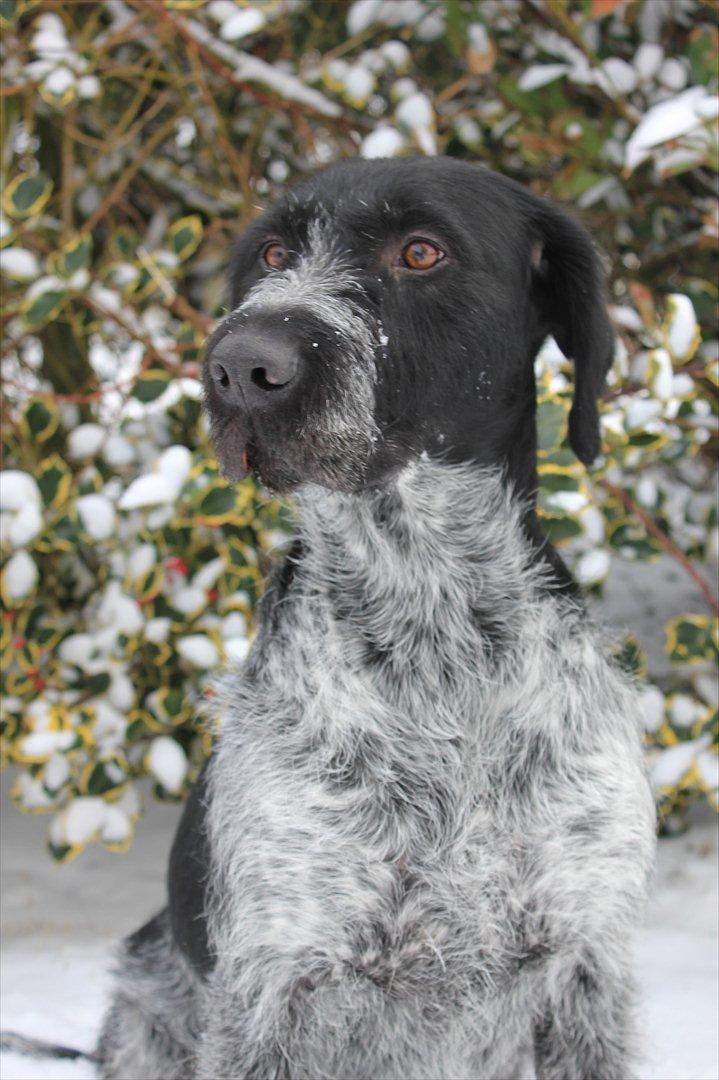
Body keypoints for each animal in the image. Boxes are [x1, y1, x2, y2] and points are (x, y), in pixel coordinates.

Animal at [96, 154, 656, 1080]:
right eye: (275, 254)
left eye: (421, 251)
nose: (241, 365)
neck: (433, 632)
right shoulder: (276, 985)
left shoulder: (586, 966)